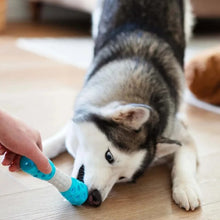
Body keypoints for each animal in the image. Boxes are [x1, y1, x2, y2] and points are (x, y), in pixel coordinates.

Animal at [43, 0, 201, 210]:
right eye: (109, 156)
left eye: (122, 178)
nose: (95, 198)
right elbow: (61, 135)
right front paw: (40, 147)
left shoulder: (180, 135)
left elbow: (184, 160)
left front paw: (186, 188)